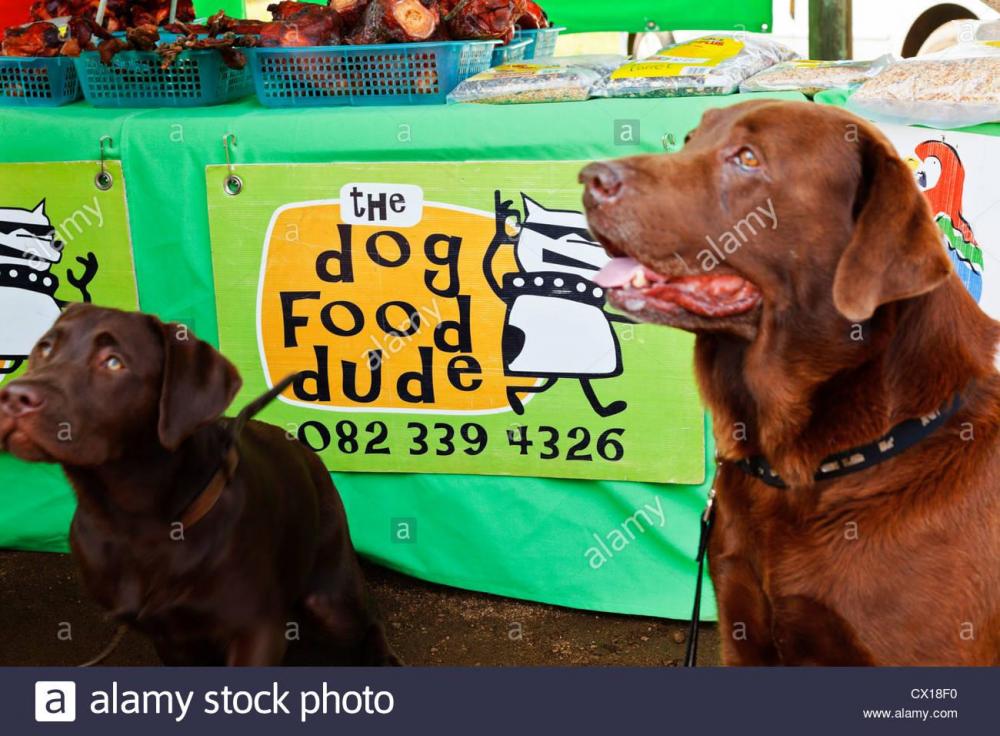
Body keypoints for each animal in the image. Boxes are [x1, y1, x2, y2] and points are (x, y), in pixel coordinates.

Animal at [0, 304, 398, 668]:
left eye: (113, 363)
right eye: (45, 348)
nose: (15, 396)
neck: (134, 525)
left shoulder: (257, 632)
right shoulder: (173, 641)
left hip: (331, 601)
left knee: (368, 625)